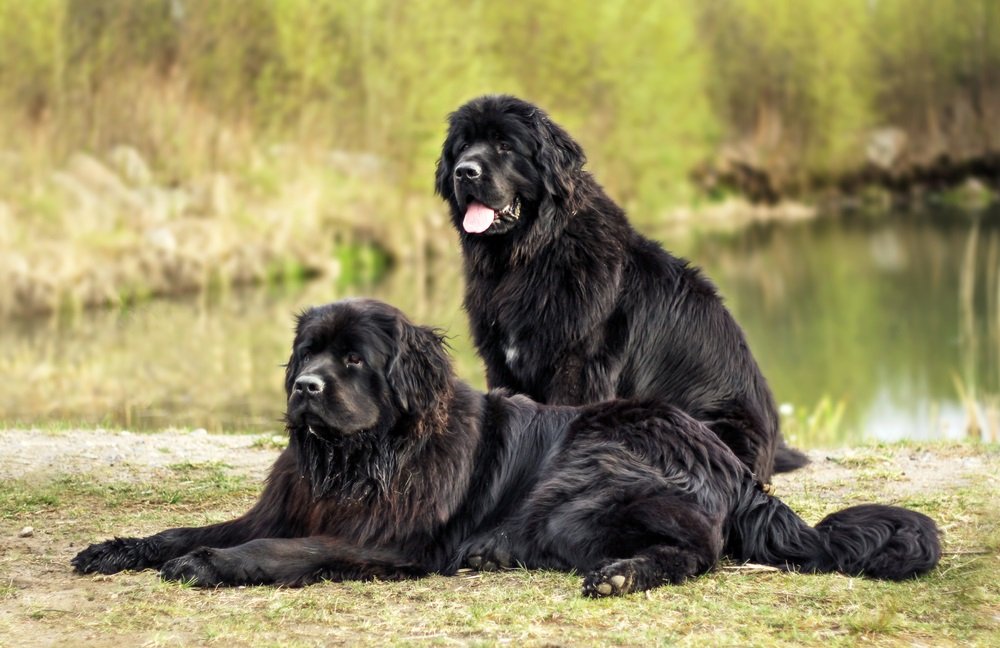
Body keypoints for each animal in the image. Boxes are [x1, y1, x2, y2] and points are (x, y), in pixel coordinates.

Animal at [74, 302, 940, 596]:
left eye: (353, 359)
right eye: (307, 354)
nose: (306, 388)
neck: (359, 461)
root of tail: (730, 463)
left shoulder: (390, 542)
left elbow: (282, 551)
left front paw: (210, 566)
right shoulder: (288, 502)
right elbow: (188, 527)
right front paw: (117, 548)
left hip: (584, 480)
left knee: (700, 548)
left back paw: (622, 575)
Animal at [434, 93, 808, 484]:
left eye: (505, 145)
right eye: (463, 148)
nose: (465, 171)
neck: (530, 257)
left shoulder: (578, 363)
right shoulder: (500, 360)